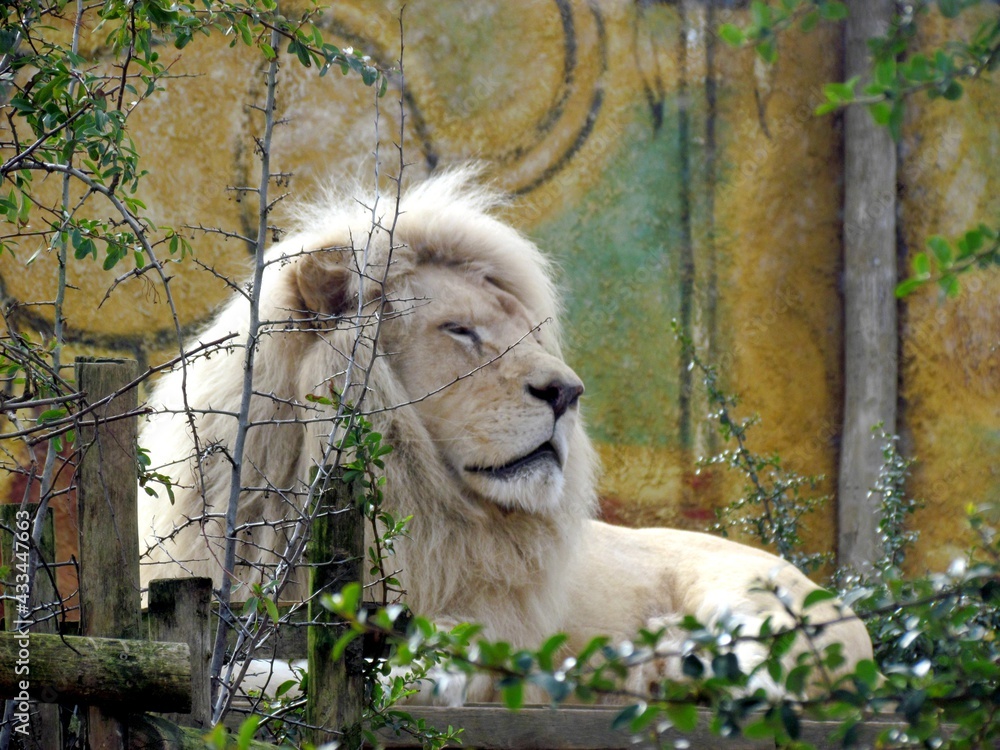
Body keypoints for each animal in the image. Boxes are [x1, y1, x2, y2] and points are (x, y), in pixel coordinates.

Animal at [138, 169, 873, 703]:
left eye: (530, 336)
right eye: (461, 331)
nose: (568, 393)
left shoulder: (473, 633)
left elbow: (406, 664)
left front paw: (256, 676)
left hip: (751, 598)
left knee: (775, 676)